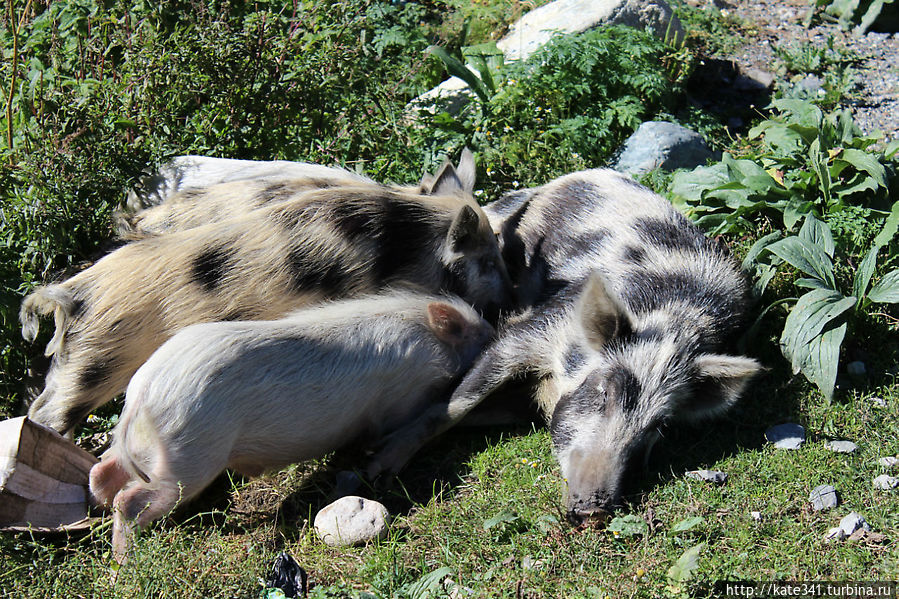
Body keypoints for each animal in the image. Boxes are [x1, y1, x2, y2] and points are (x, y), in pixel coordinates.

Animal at [22, 171, 512, 434]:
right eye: (487, 260)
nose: (510, 299)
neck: (404, 242)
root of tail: (70, 296)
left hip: (74, 362)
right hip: (96, 364)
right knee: (49, 414)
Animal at [90, 290, 492, 564]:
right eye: (478, 332)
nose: (495, 330)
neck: (425, 335)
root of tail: (141, 395)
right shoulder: (403, 399)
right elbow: (387, 432)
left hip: (149, 451)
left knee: (102, 472)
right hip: (188, 455)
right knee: (131, 500)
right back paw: (124, 561)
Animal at [370, 169, 764, 524]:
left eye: (658, 426)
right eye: (604, 390)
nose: (594, 510)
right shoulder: (537, 328)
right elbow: (456, 404)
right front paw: (377, 469)